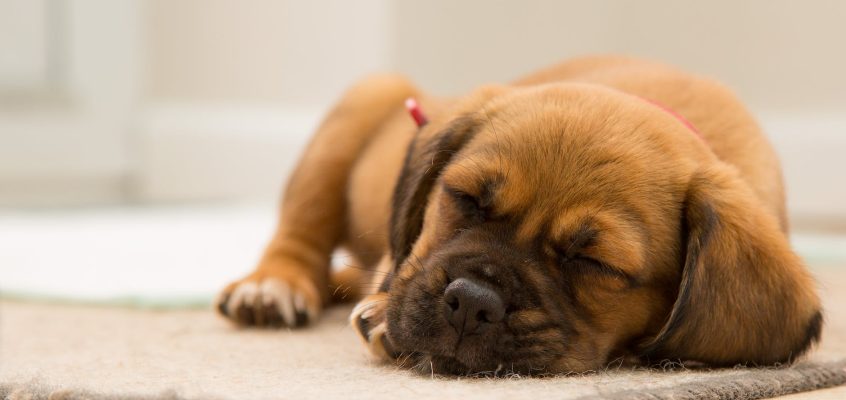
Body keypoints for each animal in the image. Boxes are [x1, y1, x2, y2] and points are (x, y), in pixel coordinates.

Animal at [215, 55, 824, 376]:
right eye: (465, 199)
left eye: (595, 263)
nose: (471, 302)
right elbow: (400, 262)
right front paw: (385, 310)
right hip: (359, 109)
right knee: (301, 234)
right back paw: (273, 285)